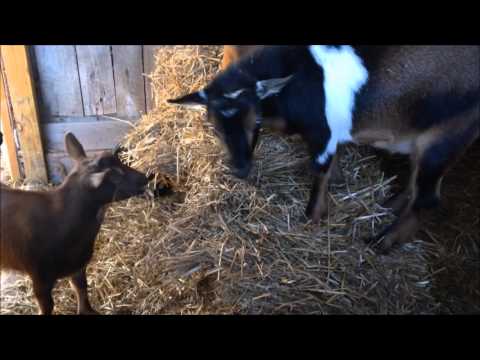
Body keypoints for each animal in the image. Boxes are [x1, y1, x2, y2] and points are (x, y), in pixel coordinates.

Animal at [0, 133, 153, 316]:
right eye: (115, 176)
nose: (146, 177)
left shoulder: (78, 264)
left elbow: (81, 289)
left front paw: (89, 311)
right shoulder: (40, 277)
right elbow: (47, 306)